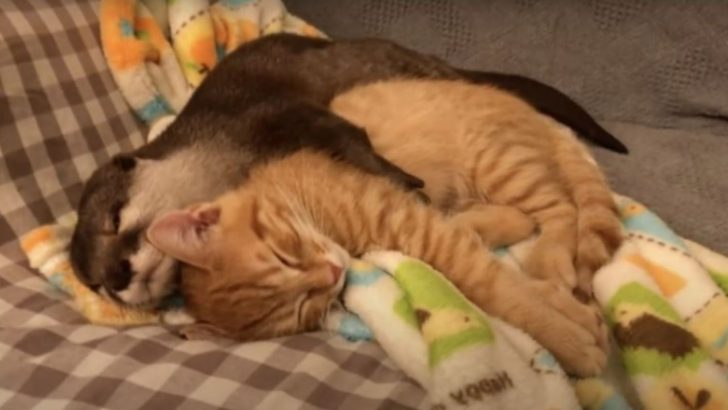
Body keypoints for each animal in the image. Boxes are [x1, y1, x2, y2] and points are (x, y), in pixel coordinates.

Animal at [148, 151, 608, 378]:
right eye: (302, 310)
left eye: (284, 255)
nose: (334, 275)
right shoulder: (427, 230)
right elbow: (498, 275)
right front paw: (572, 318)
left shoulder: (415, 225)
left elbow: (500, 290)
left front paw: (570, 339)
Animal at [332, 80, 624, 294]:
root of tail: (541, 121)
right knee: (522, 219)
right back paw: (472, 226)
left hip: (498, 163)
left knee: (561, 207)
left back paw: (549, 257)